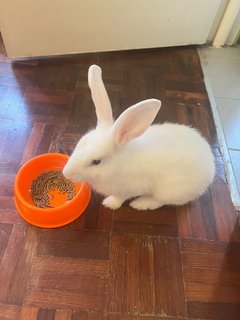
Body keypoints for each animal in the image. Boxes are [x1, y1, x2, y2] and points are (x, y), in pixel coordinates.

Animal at [62, 64, 216, 210]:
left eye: (96, 162)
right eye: (79, 144)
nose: (66, 173)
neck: (118, 164)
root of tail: (211, 166)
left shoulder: (127, 189)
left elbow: (119, 198)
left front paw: (109, 204)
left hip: (170, 191)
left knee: (161, 201)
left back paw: (141, 204)